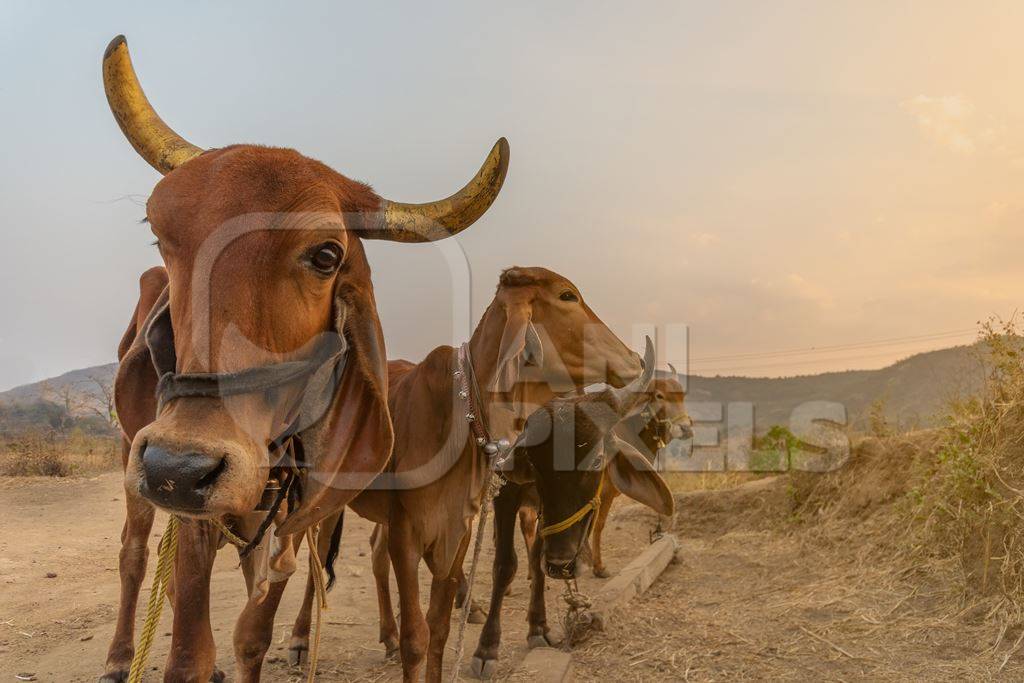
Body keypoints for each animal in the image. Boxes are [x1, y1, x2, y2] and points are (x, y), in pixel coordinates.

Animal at [99, 36, 507, 683]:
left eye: (326, 255)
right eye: (160, 234)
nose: (180, 466)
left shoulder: (290, 515)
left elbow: (251, 633)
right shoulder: (190, 509)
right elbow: (190, 651)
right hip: (130, 456)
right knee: (133, 552)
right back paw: (118, 655)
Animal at [284, 266, 643, 679]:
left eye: (597, 460)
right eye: (568, 296)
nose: (634, 358)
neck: (460, 419)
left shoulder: (458, 531)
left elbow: (438, 630)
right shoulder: (409, 532)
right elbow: (418, 637)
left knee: (373, 555)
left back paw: (387, 635)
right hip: (326, 502)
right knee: (314, 557)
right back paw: (299, 640)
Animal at [468, 342, 675, 679]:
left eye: (597, 459)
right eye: (534, 462)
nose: (562, 565)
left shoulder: (543, 515)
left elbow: (537, 559)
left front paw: (538, 626)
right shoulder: (507, 496)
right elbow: (504, 564)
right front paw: (487, 648)